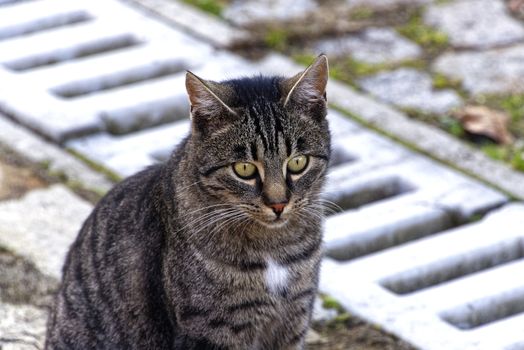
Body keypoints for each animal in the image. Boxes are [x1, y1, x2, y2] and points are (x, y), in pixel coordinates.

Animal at [46, 55, 332, 350]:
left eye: (297, 163)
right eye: (243, 169)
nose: (278, 204)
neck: (274, 247)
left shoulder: (294, 320)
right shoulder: (210, 332)